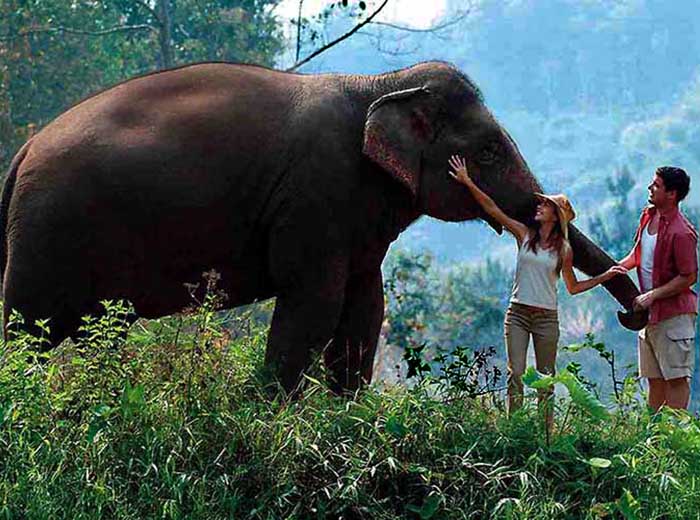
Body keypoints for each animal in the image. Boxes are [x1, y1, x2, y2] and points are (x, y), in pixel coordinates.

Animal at [0, 61, 648, 392]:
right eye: (488, 150)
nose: (632, 315)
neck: (379, 82)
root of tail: (22, 153)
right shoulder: (318, 192)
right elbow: (313, 301)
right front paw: (269, 414)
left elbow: (365, 305)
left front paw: (347, 412)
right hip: (47, 232)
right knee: (25, 328)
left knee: (91, 334)